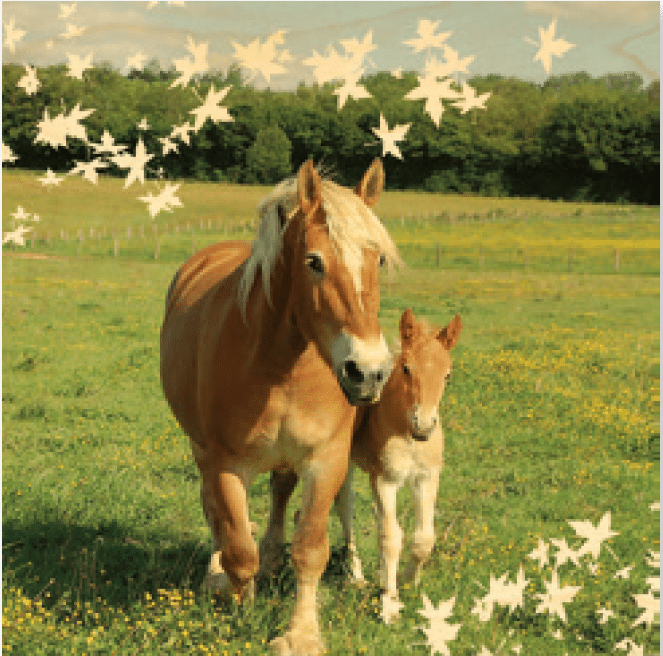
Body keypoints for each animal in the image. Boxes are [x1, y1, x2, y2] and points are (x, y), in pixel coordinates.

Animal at [160, 158, 401, 655]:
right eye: (314, 261)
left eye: (380, 259)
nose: (368, 372)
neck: (281, 364)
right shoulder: (225, 463)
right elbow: (237, 547)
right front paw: (239, 605)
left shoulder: (325, 460)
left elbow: (309, 549)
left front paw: (302, 634)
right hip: (200, 448)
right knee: (215, 510)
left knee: (279, 492)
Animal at [268, 308, 461, 624]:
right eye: (406, 369)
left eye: (448, 374)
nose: (423, 426)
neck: (406, 434)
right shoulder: (384, 479)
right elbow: (391, 537)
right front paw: (390, 604)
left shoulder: (427, 478)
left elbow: (424, 539)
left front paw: (408, 580)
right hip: (341, 466)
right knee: (342, 510)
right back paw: (356, 577)